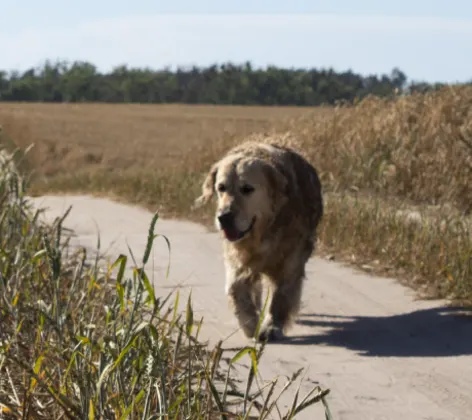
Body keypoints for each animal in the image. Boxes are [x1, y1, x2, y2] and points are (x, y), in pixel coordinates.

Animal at [194, 138, 322, 342]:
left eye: (247, 189)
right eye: (221, 188)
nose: (224, 217)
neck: (263, 232)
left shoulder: (290, 262)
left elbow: (280, 297)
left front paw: (271, 326)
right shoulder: (238, 261)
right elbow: (237, 289)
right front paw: (251, 324)